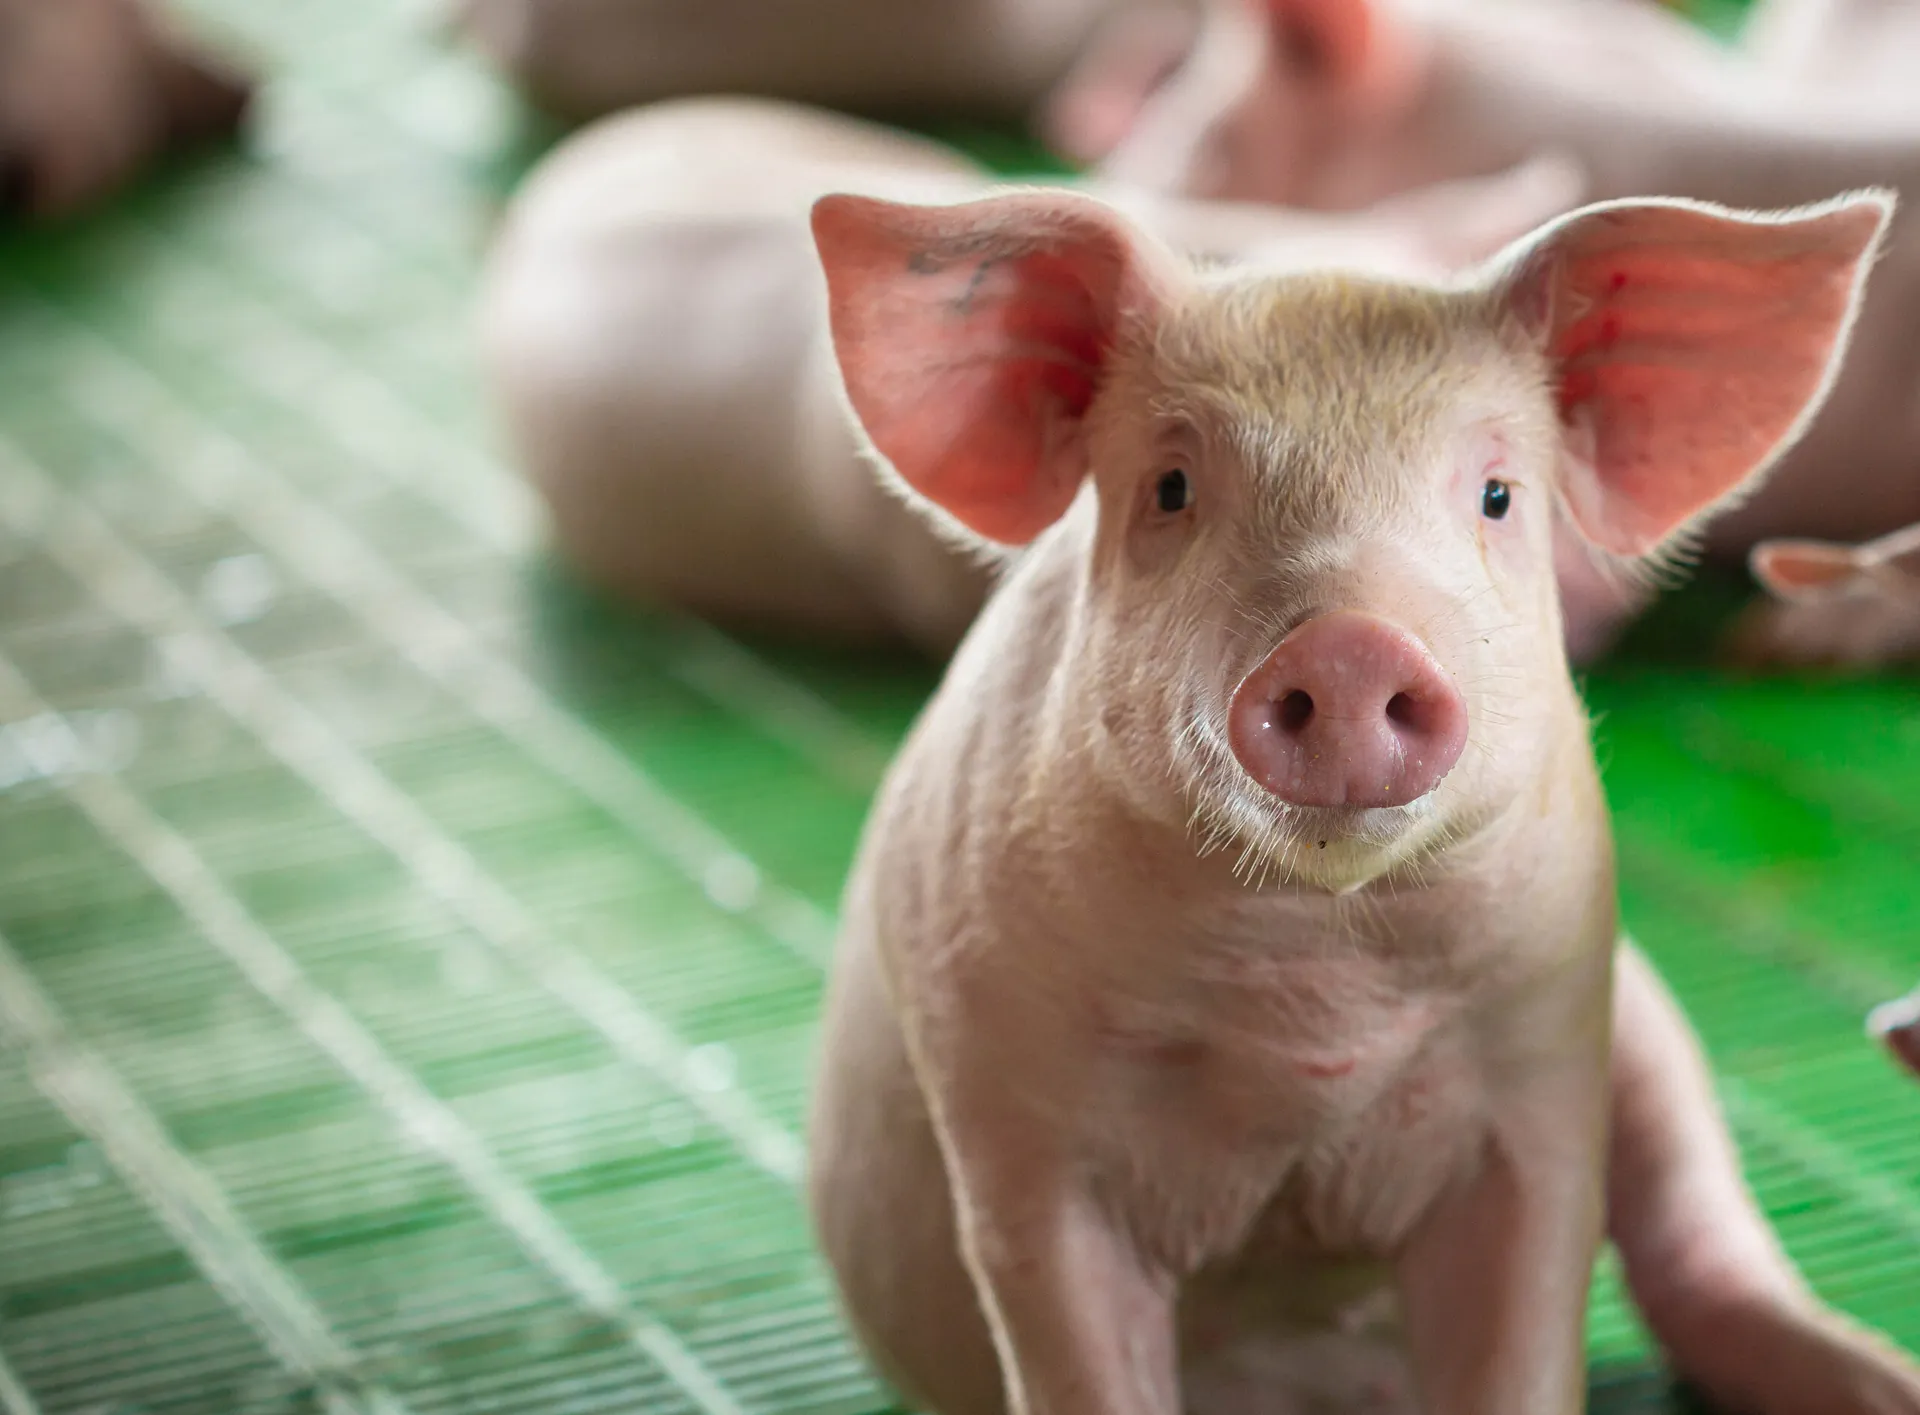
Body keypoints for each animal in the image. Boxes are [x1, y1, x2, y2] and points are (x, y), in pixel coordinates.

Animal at [803, 183, 1920, 1415]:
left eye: (1496, 495)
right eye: (1172, 489)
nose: (1348, 643)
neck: (1314, 996)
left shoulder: (1542, 1076)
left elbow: (1526, 1332)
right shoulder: (1011, 1117)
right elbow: (1076, 1351)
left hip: (1646, 1024)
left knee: (1695, 1243)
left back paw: (1878, 1378)